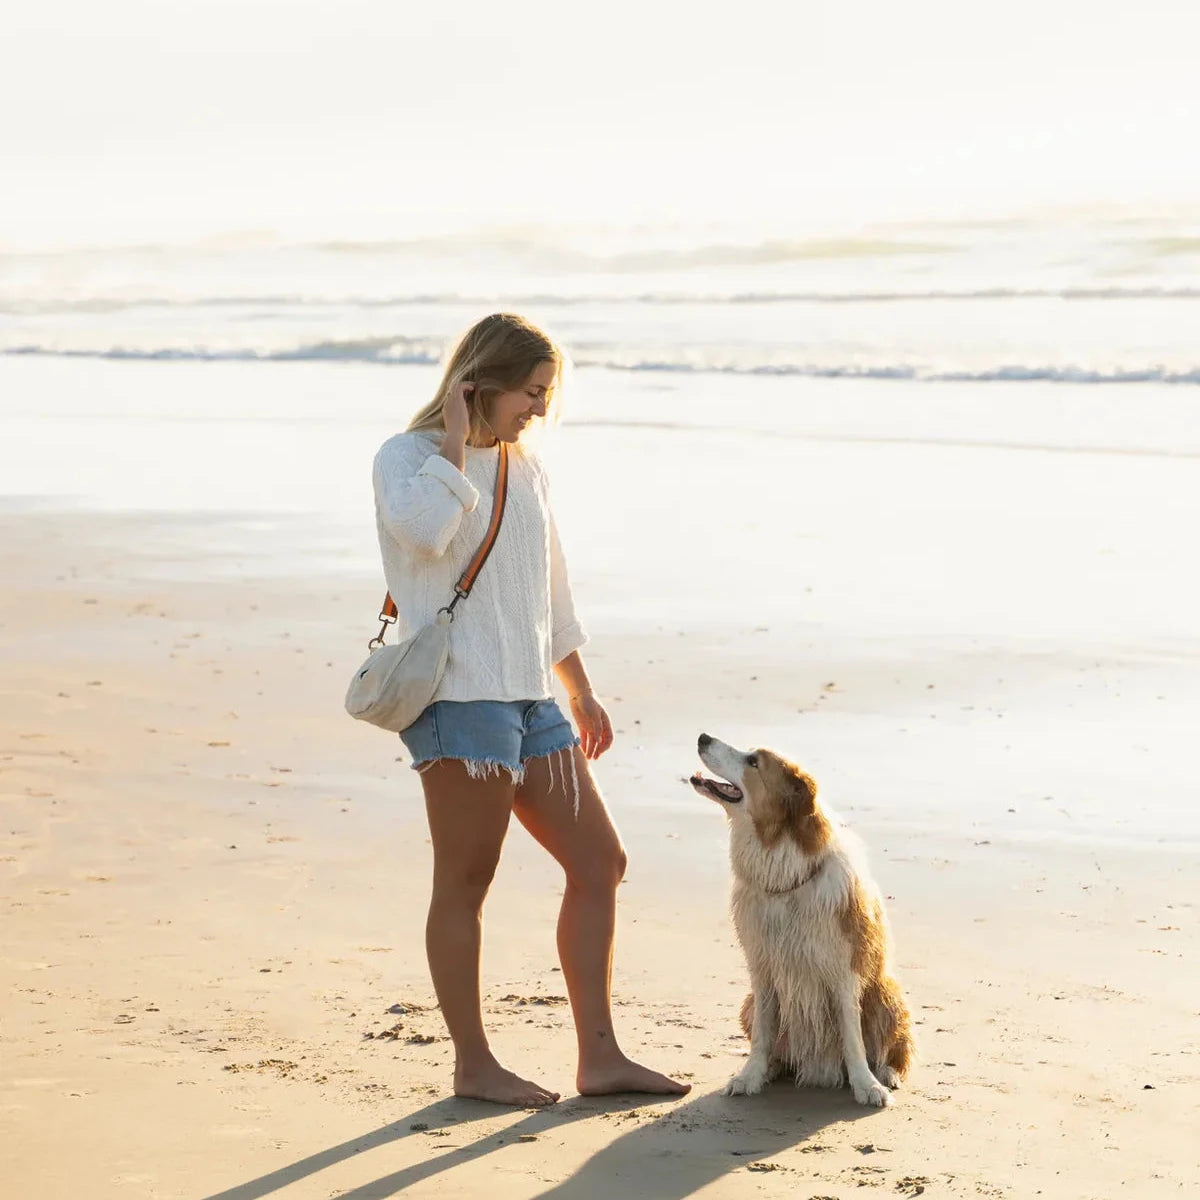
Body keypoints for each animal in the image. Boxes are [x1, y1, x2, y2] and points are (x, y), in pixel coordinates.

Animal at [691, 729, 912, 1104]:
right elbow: (763, 1035)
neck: (783, 871)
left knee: (892, 1049)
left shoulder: (843, 970)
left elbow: (853, 1038)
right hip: (748, 1002)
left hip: (887, 994)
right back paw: (774, 1068)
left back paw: (886, 1074)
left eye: (754, 761)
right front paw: (751, 1076)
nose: (703, 736)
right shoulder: (763, 969)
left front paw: (866, 1085)